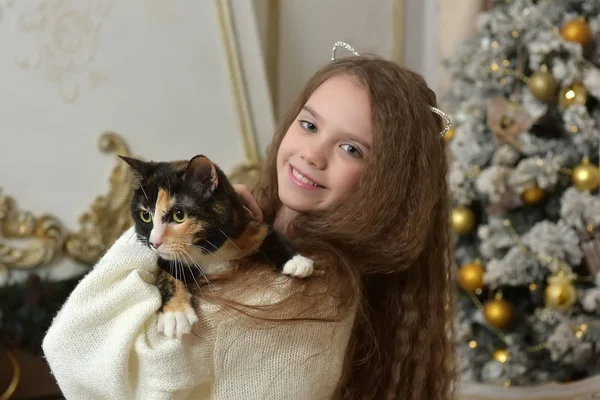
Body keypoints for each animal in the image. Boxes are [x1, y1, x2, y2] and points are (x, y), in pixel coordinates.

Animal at [118, 155, 314, 340]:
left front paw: (297, 261)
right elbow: (166, 274)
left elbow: (267, 232)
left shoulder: (242, 228)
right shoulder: (165, 258)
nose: (154, 242)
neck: (206, 249)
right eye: (145, 215)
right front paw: (175, 315)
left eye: (179, 215)